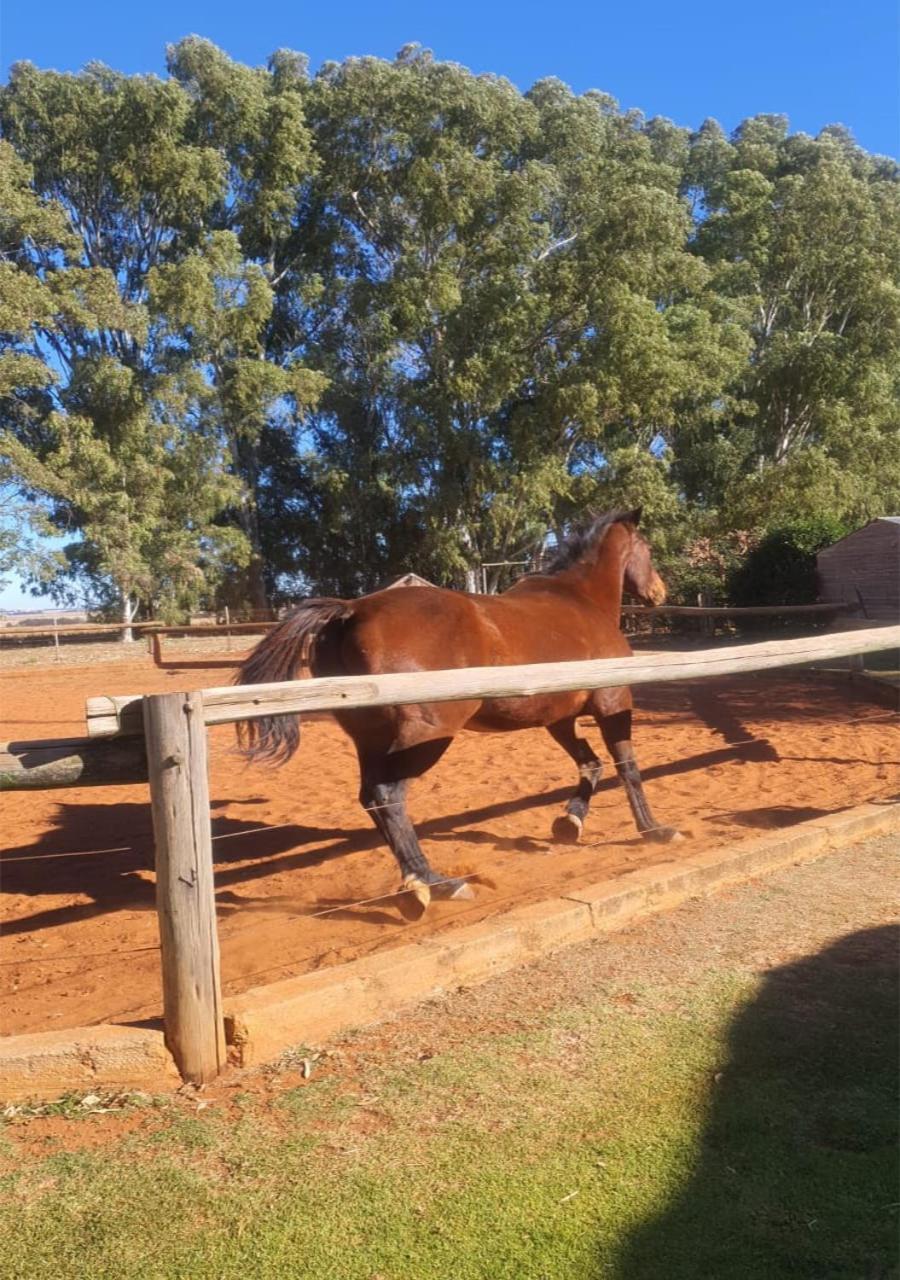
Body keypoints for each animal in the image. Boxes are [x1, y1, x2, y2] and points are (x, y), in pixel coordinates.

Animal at [239, 509, 681, 921]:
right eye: (647, 548)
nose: (659, 592)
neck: (581, 600)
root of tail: (351, 610)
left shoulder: (559, 719)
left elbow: (590, 764)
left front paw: (569, 823)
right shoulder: (613, 702)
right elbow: (627, 767)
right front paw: (654, 830)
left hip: (371, 740)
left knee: (371, 799)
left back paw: (420, 885)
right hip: (427, 735)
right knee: (388, 797)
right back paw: (436, 885)